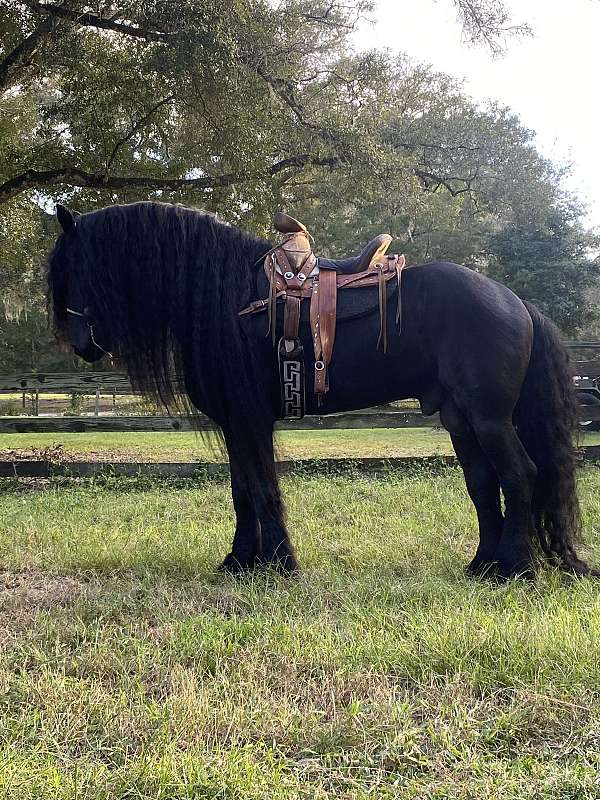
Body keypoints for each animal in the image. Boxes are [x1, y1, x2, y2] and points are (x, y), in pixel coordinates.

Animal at [48, 199, 596, 576]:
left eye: (74, 268)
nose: (82, 345)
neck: (225, 300)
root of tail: (515, 301)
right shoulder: (235, 425)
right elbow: (241, 491)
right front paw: (240, 561)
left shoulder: (249, 420)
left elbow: (263, 489)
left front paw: (278, 562)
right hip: (460, 420)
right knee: (483, 483)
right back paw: (482, 565)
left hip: (490, 418)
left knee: (520, 475)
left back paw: (515, 567)